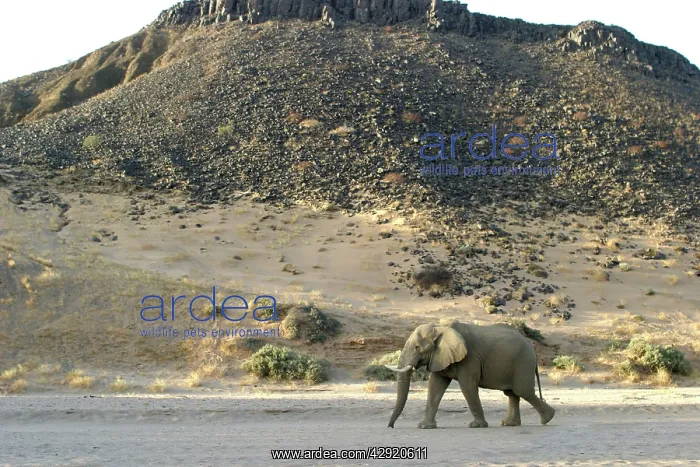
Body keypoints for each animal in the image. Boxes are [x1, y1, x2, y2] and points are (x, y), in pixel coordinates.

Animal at [385, 321, 556, 429]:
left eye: (417, 347)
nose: (390, 426)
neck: (441, 328)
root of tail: (531, 345)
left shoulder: (470, 358)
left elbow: (467, 386)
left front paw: (477, 426)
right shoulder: (440, 357)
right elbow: (435, 386)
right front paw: (424, 427)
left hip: (523, 361)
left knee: (522, 391)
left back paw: (548, 418)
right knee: (512, 393)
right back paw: (510, 424)